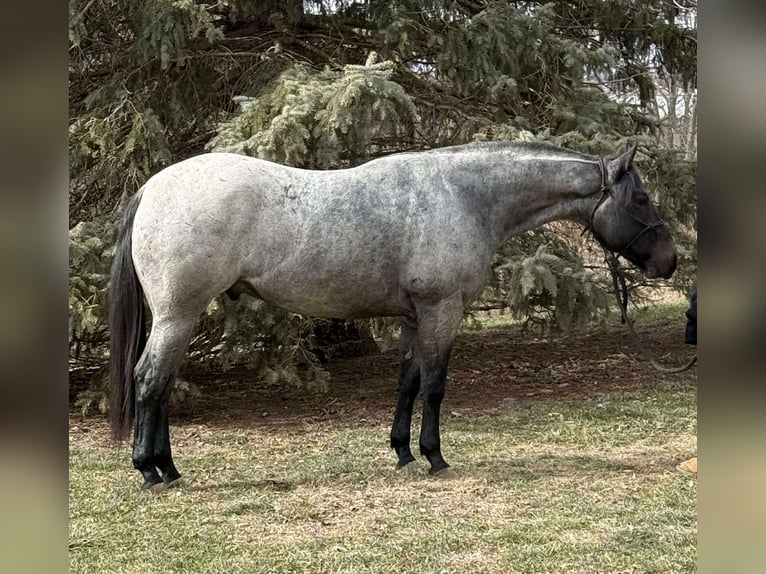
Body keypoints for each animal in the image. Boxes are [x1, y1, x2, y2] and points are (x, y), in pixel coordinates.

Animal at [109, 140, 677, 490]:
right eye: (641, 198)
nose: (669, 261)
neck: (463, 196)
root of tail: (152, 188)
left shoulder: (413, 317)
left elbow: (407, 382)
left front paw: (403, 452)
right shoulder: (442, 311)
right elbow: (435, 386)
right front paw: (434, 457)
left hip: (179, 319)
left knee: (162, 386)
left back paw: (168, 468)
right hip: (177, 316)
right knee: (149, 381)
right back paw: (149, 471)